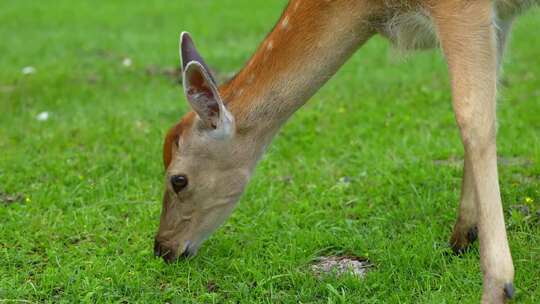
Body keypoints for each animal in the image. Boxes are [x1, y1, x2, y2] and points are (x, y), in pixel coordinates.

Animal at [154, 0, 536, 302]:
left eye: (178, 180)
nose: (162, 248)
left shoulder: (463, 6)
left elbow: (473, 117)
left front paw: (499, 286)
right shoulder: (499, 16)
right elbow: (492, 102)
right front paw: (462, 235)